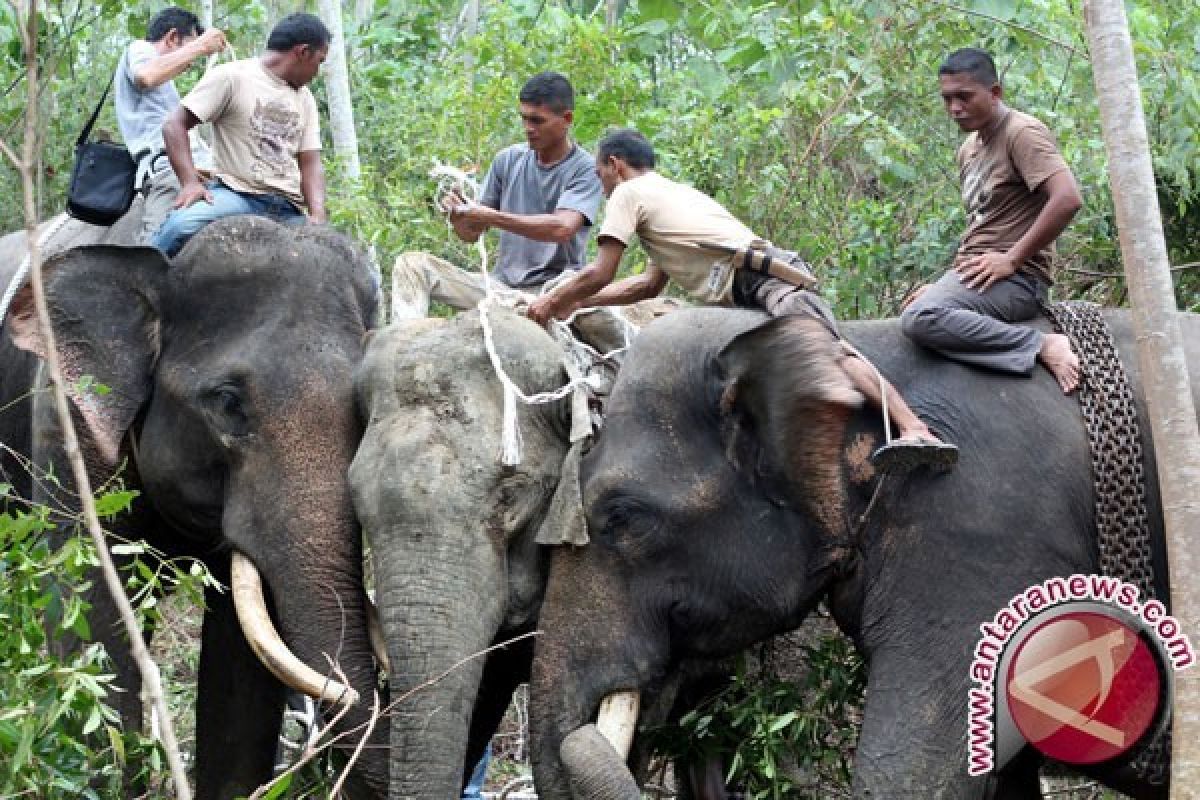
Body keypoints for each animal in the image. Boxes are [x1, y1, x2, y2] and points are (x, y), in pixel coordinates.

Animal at [0, 215, 386, 796]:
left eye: (366, 410)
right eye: (227, 403)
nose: (354, 692)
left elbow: (241, 666)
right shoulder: (69, 424)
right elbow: (92, 619)